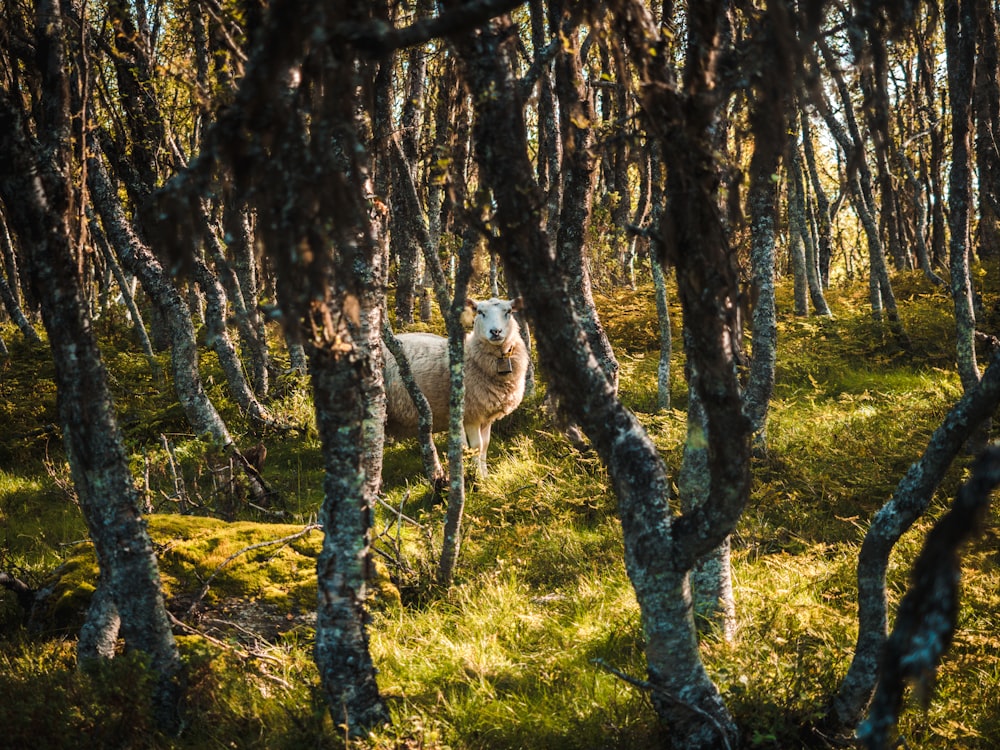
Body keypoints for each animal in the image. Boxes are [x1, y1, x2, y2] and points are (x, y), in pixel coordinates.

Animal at [380, 298, 532, 478]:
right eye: (480, 312)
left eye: (508, 311)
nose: (495, 331)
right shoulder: (471, 415)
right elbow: (477, 446)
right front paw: (478, 477)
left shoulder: (486, 415)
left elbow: (485, 445)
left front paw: (485, 475)